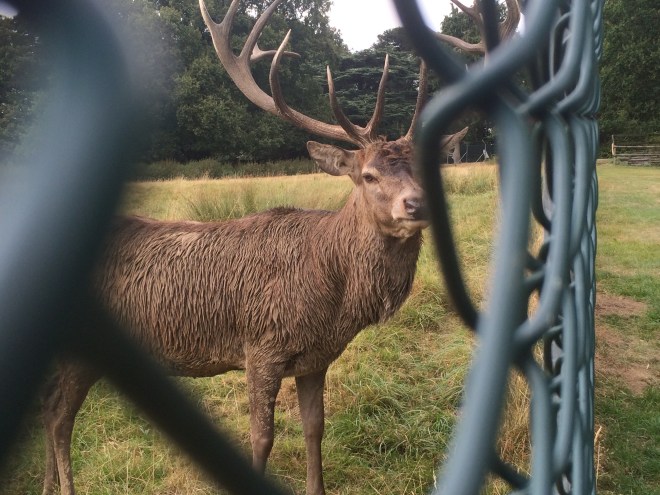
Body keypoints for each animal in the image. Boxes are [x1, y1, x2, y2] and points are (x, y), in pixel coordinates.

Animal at [40, 1, 473, 494]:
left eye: (426, 167)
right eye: (368, 175)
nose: (417, 204)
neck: (332, 299)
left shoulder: (316, 359)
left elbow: (314, 428)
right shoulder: (261, 348)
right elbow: (262, 438)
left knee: (48, 406)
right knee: (59, 417)